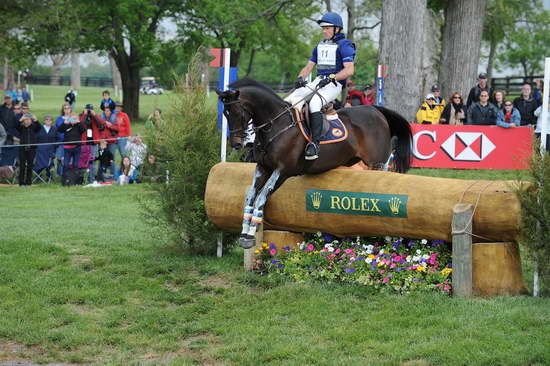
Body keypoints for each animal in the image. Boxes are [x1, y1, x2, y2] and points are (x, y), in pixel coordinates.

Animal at [217, 78, 414, 249]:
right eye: (225, 114)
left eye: (238, 113)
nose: (236, 144)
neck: (276, 125)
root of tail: (376, 110)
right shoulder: (263, 167)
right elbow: (250, 195)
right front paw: (244, 233)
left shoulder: (283, 170)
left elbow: (261, 198)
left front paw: (250, 234)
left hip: (376, 162)